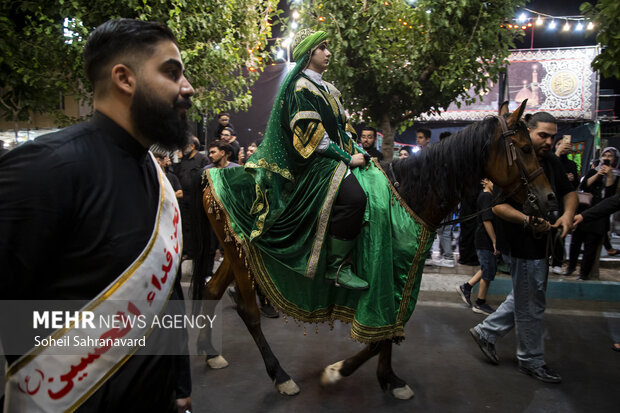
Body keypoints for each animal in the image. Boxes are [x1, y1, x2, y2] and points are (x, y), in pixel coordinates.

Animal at [189, 100, 556, 400]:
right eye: (526, 148)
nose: (550, 199)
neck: (410, 195)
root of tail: (211, 175)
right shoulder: (383, 278)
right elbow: (380, 333)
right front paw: (337, 371)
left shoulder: (401, 275)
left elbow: (391, 330)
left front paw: (390, 378)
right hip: (238, 254)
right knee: (248, 311)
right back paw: (280, 375)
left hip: (236, 250)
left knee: (211, 290)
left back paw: (211, 352)